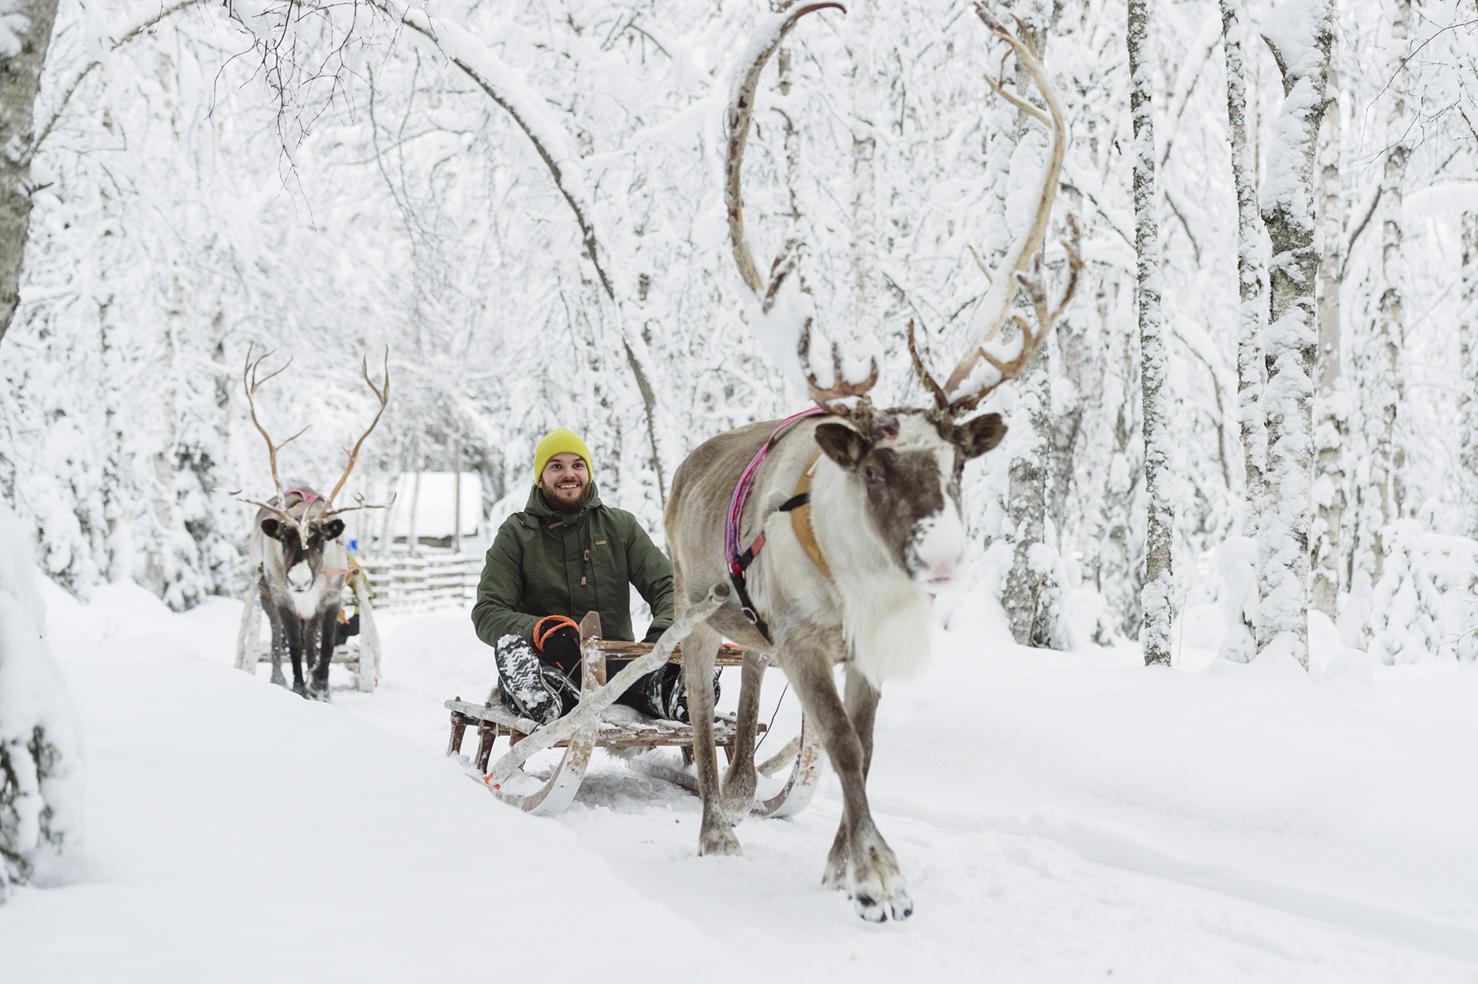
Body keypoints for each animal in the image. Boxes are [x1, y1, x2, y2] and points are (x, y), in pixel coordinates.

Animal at [239, 347, 390, 701]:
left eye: (321, 542)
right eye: (283, 540)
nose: (298, 580)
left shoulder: (329, 599)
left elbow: (325, 647)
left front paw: (320, 686)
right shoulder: (283, 598)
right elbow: (292, 644)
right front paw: (297, 686)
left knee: (313, 642)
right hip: (266, 592)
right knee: (279, 639)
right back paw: (280, 678)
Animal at [662, 1, 1082, 922]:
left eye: (959, 466)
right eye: (877, 471)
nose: (947, 560)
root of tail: (691, 462)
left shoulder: (864, 644)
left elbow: (862, 741)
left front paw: (840, 859)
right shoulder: (805, 639)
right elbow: (842, 745)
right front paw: (876, 876)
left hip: (751, 630)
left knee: (749, 689)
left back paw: (744, 789)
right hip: (692, 608)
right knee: (705, 718)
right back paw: (716, 826)